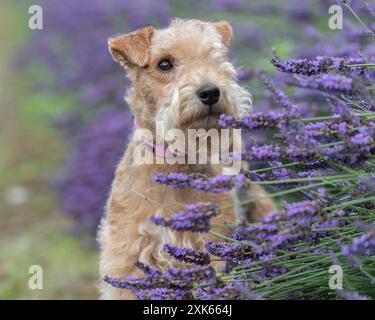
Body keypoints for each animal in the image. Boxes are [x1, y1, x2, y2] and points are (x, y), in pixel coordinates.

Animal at [97, 18, 276, 298]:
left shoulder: (214, 242)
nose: (210, 92)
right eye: (164, 64)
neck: (175, 163)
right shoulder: (128, 256)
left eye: (216, 56)